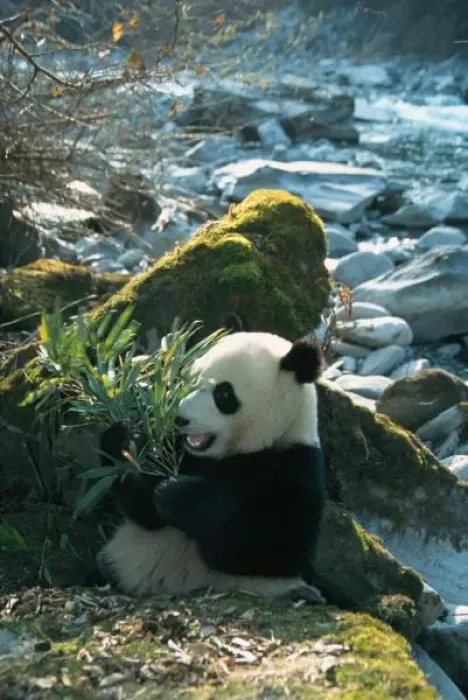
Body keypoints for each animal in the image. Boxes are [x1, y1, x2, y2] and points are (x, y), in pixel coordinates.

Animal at [93, 321, 326, 602]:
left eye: (223, 394)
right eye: (186, 381)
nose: (179, 418)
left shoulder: (294, 465)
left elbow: (275, 547)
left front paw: (176, 493)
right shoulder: (181, 452)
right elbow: (145, 510)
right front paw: (123, 438)